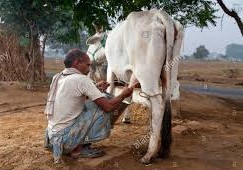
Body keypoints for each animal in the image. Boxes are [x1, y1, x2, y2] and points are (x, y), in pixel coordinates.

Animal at [86, 8, 183, 163]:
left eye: (91, 43)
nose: (87, 56)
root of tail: (158, 15)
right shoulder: (130, 75)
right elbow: (128, 96)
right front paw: (125, 118)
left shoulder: (111, 68)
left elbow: (111, 91)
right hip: (170, 71)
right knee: (165, 101)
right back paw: (162, 148)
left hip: (146, 75)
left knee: (157, 104)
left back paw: (149, 154)